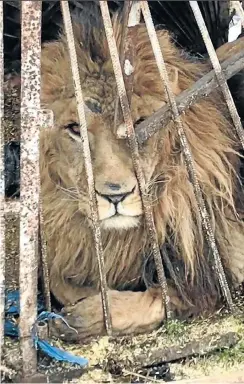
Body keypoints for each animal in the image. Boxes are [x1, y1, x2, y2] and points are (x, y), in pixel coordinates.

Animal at [38, 15, 244, 342]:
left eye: (139, 124)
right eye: (75, 129)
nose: (115, 195)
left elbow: (166, 296)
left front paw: (80, 318)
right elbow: (60, 279)